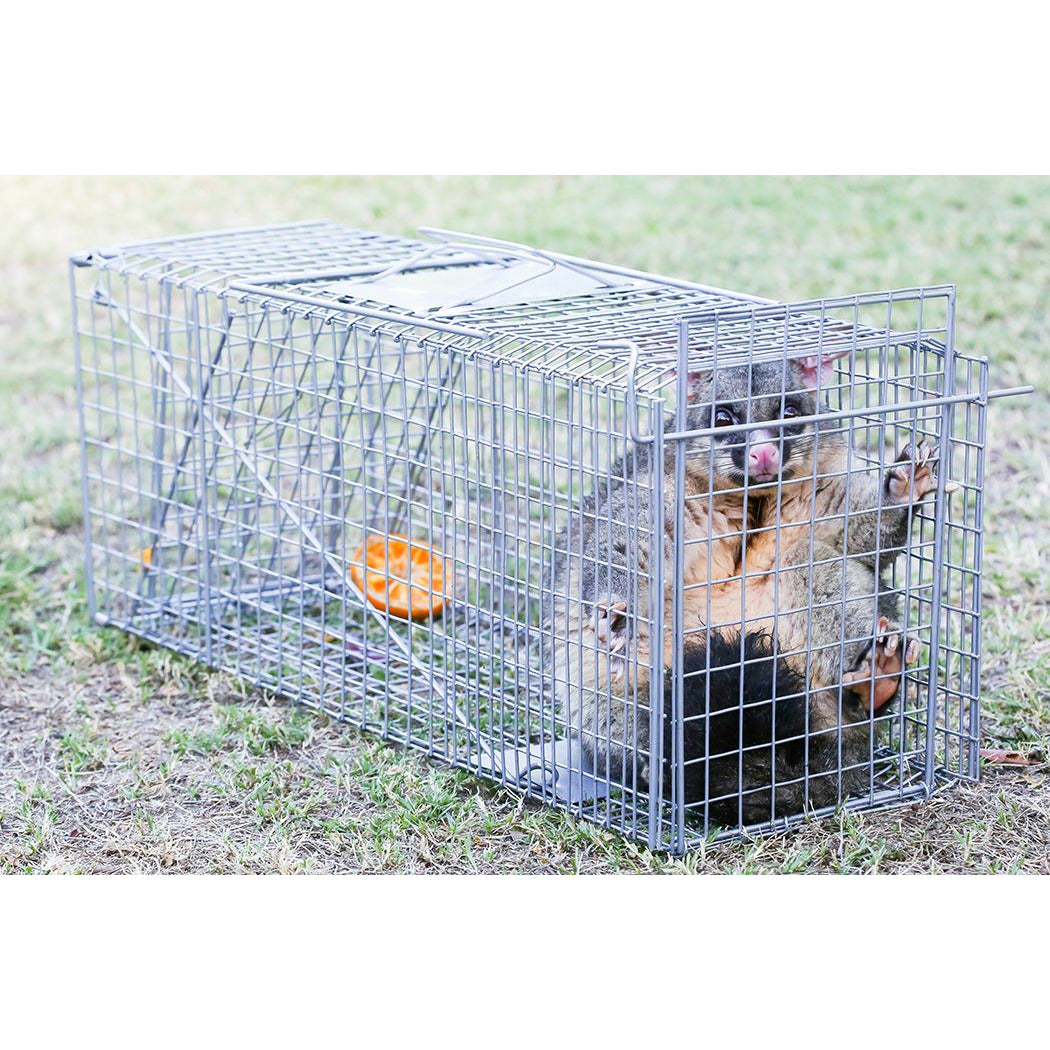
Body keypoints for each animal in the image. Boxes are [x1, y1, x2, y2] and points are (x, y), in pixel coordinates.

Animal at [546, 350, 946, 825]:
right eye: (723, 417)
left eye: (790, 412)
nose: (763, 452)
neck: (752, 496)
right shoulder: (663, 485)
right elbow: (624, 535)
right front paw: (615, 611)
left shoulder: (826, 484)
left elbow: (861, 539)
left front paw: (903, 487)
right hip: (617, 687)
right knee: (621, 699)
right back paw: (657, 765)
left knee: (814, 564)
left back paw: (872, 681)